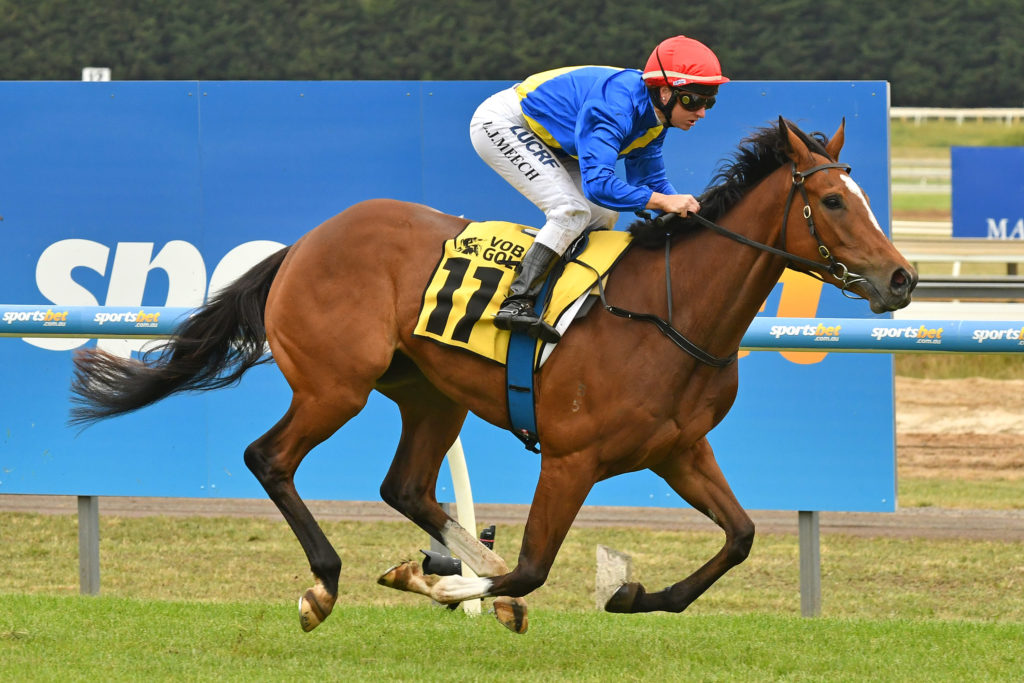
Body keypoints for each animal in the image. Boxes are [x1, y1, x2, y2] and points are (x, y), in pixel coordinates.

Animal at [69, 117, 916, 634]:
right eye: (834, 199)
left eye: (863, 195)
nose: (903, 278)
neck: (671, 312)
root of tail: (305, 242)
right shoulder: (573, 458)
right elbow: (537, 568)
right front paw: (443, 585)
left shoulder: (679, 449)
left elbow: (739, 536)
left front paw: (633, 591)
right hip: (335, 385)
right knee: (269, 457)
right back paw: (325, 584)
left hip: (429, 394)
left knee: (406, 486)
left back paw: (455, 566)